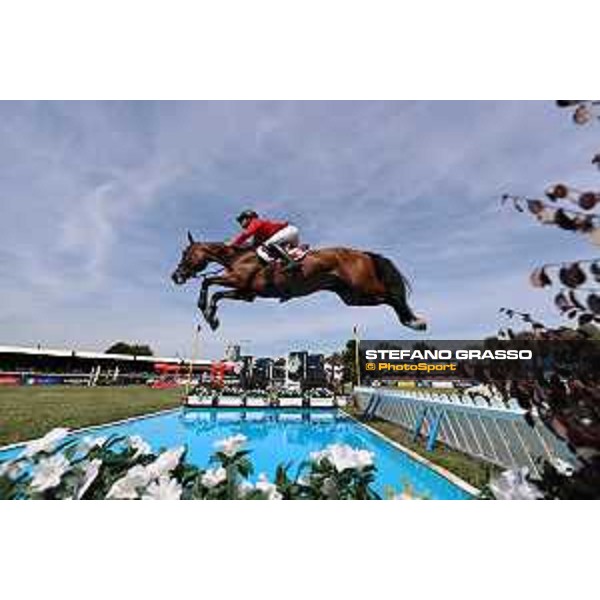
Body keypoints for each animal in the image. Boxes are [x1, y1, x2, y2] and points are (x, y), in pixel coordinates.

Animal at [171, 231, 428, 332]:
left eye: (185, 253)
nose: (175, 276)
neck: (237, 257)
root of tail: (363, 254)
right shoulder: (246, 293)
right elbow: (216, 293)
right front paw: (212, 318)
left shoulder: (238, 280)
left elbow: (208, 283)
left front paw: (206, 312)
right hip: (352, 296)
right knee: (387, 299)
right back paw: (412, 321)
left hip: (363, 287)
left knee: (392, 296)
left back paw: (416, 322)